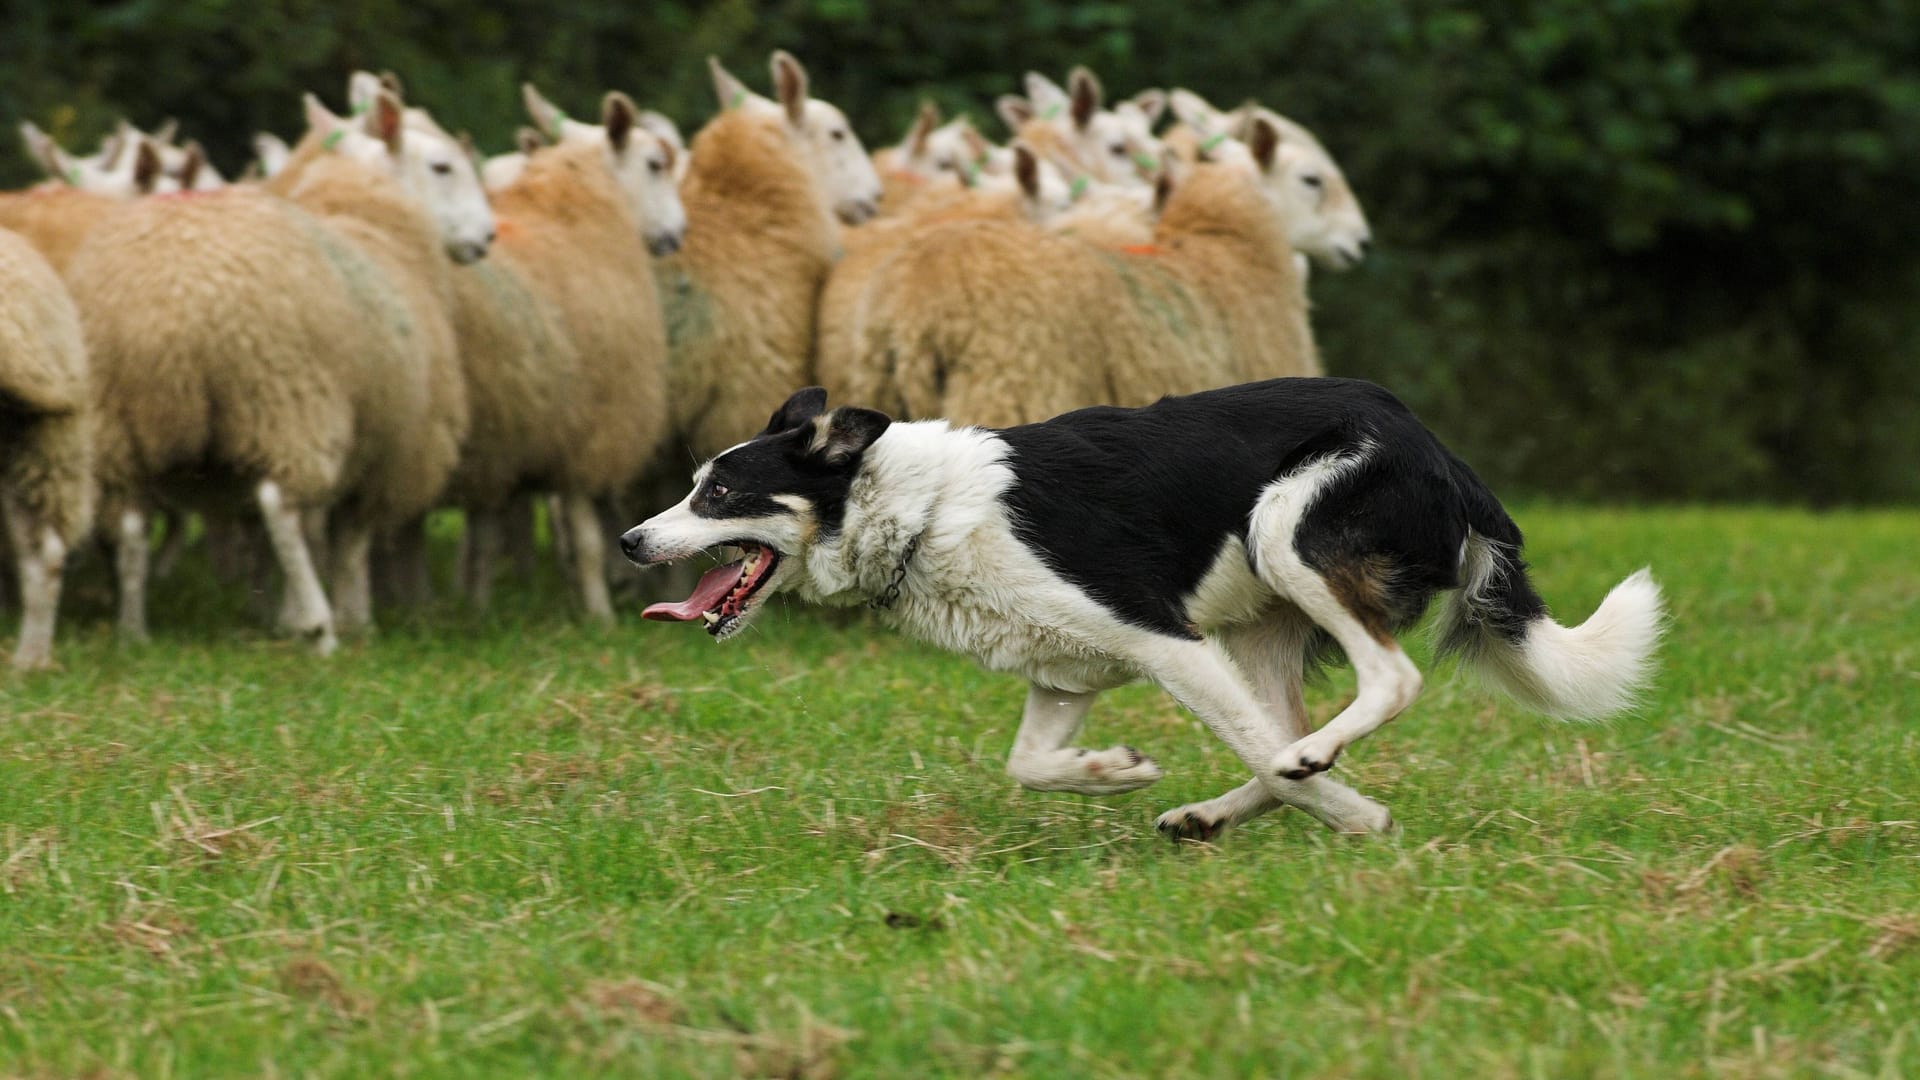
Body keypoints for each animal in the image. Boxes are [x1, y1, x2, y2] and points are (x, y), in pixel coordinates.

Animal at [622, 380, 1658, 841]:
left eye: (717, 496)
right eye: (692, 489)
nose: (633, 541)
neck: (918, 512)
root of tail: (1441, 450)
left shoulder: (1168, 641)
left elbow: (1263, 751)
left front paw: (1360, 818)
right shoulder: (1065, 673)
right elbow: (1030, 764)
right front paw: (1113, 771)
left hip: (1285, 535)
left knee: (1375, 689)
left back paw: (1314, 772)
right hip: (1262, 619)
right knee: (1283, 731)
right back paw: (1211, 814)